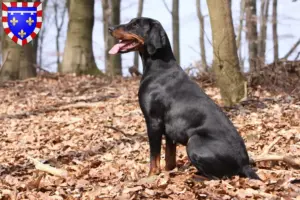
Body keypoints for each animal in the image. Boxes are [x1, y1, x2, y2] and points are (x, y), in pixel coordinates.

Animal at [108, 17, 260, 180]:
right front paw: (169, 172)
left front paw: (151, 176)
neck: (159, 67)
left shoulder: (153, 121)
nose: (110, 28)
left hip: (194, 141)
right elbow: (169, 158)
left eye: (135, 24)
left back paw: (195, 177)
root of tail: (244, 164)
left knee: (218, 177)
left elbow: (154, 156)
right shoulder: (169, 130)